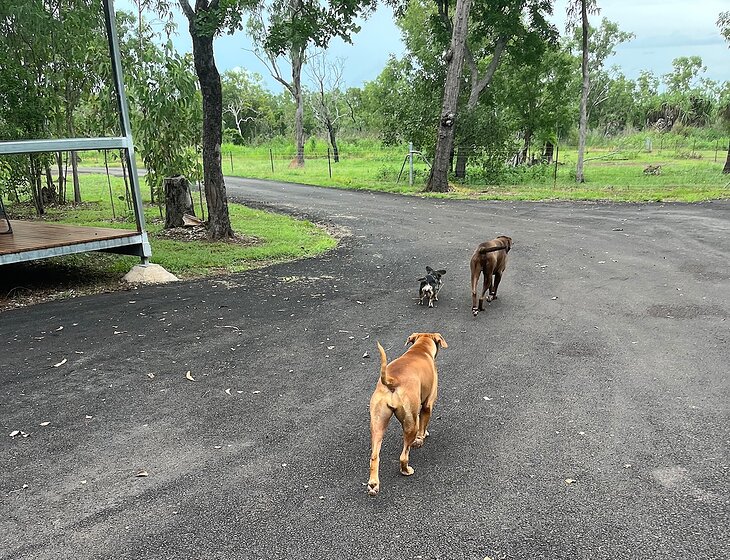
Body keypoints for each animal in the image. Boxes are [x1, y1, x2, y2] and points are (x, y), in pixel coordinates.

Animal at [367, 332, 448, 496]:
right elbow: (424, 424)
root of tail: (392, 381)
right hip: (411, 422)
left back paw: (373, 484)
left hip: (377, 424)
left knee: (374, 456)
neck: (420, 349)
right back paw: (406, 470)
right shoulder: (427, 405)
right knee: (404, 455)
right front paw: (421, 439)